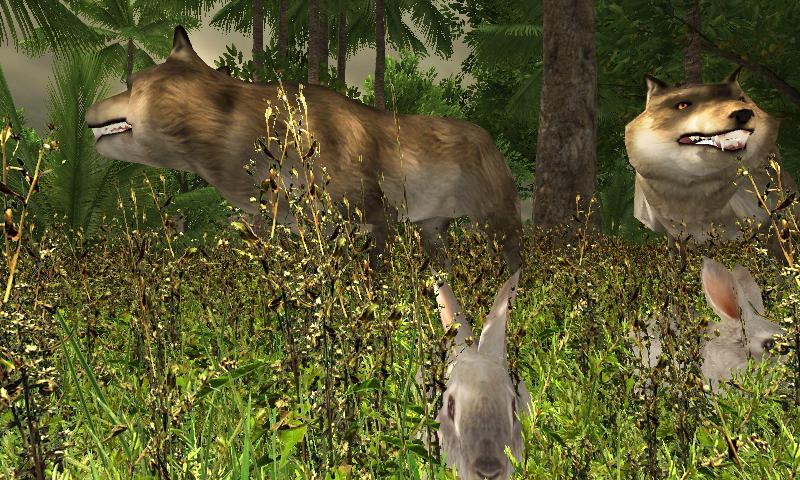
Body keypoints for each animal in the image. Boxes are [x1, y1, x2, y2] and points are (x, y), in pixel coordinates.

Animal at [85, 26, 522, 269]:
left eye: (131, 82)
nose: (86, 109)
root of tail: (490, 140)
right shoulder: (304, 230)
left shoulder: (373, 219)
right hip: (434, 230)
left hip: (496, 223)